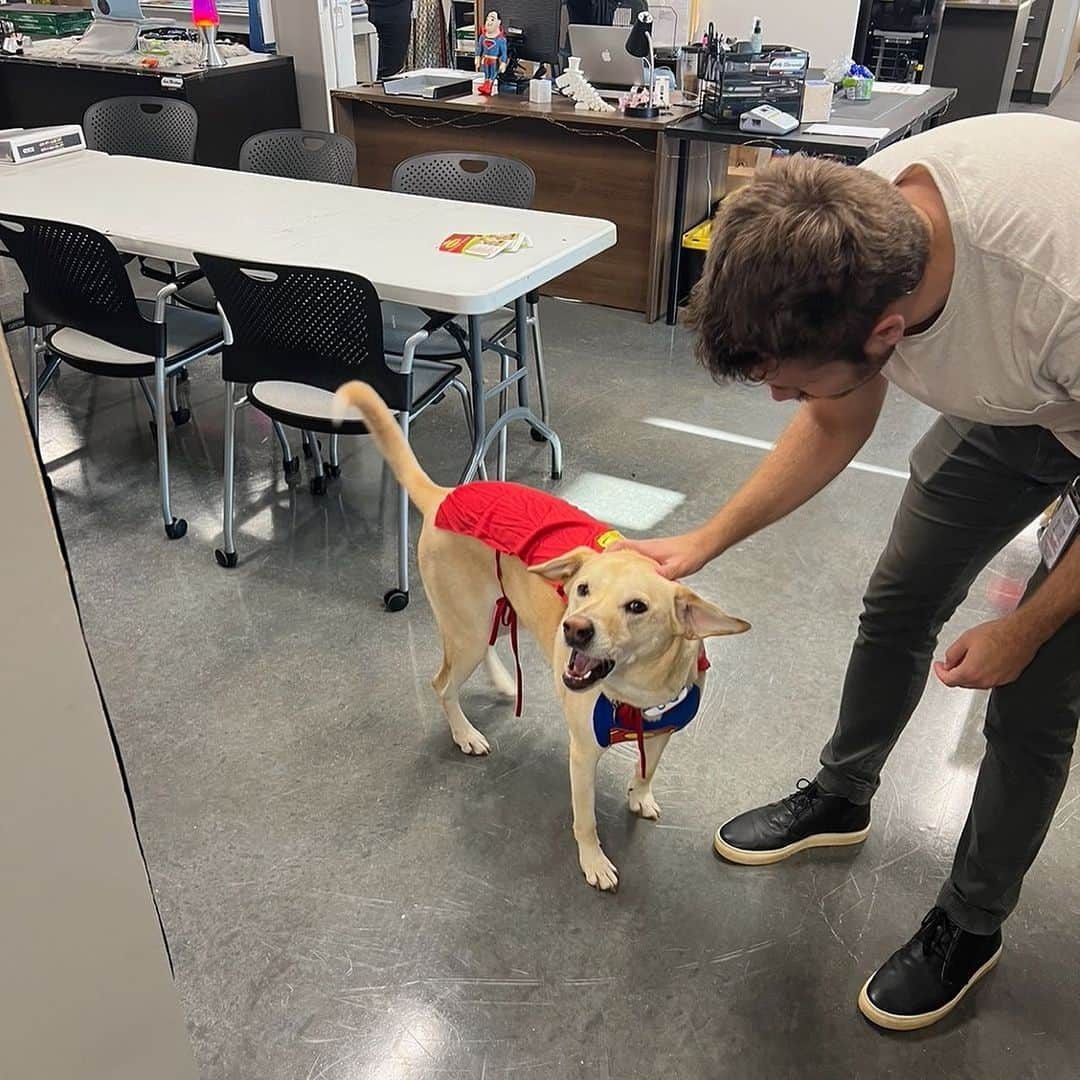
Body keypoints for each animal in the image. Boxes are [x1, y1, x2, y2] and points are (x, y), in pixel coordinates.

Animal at [330, 384, 751, 889]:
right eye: (582, 589)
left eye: (637, 607)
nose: (574, 629)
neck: (637, 691)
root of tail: (444, 496)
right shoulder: (583, 755)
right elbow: (586, 821)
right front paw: (593, 861)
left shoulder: (663, 730)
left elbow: (649, 770)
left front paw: (640, 795)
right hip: (467, 628)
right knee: (443, 683)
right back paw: (465, 733)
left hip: (486, 613)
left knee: (483, 651)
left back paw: (502, 683)